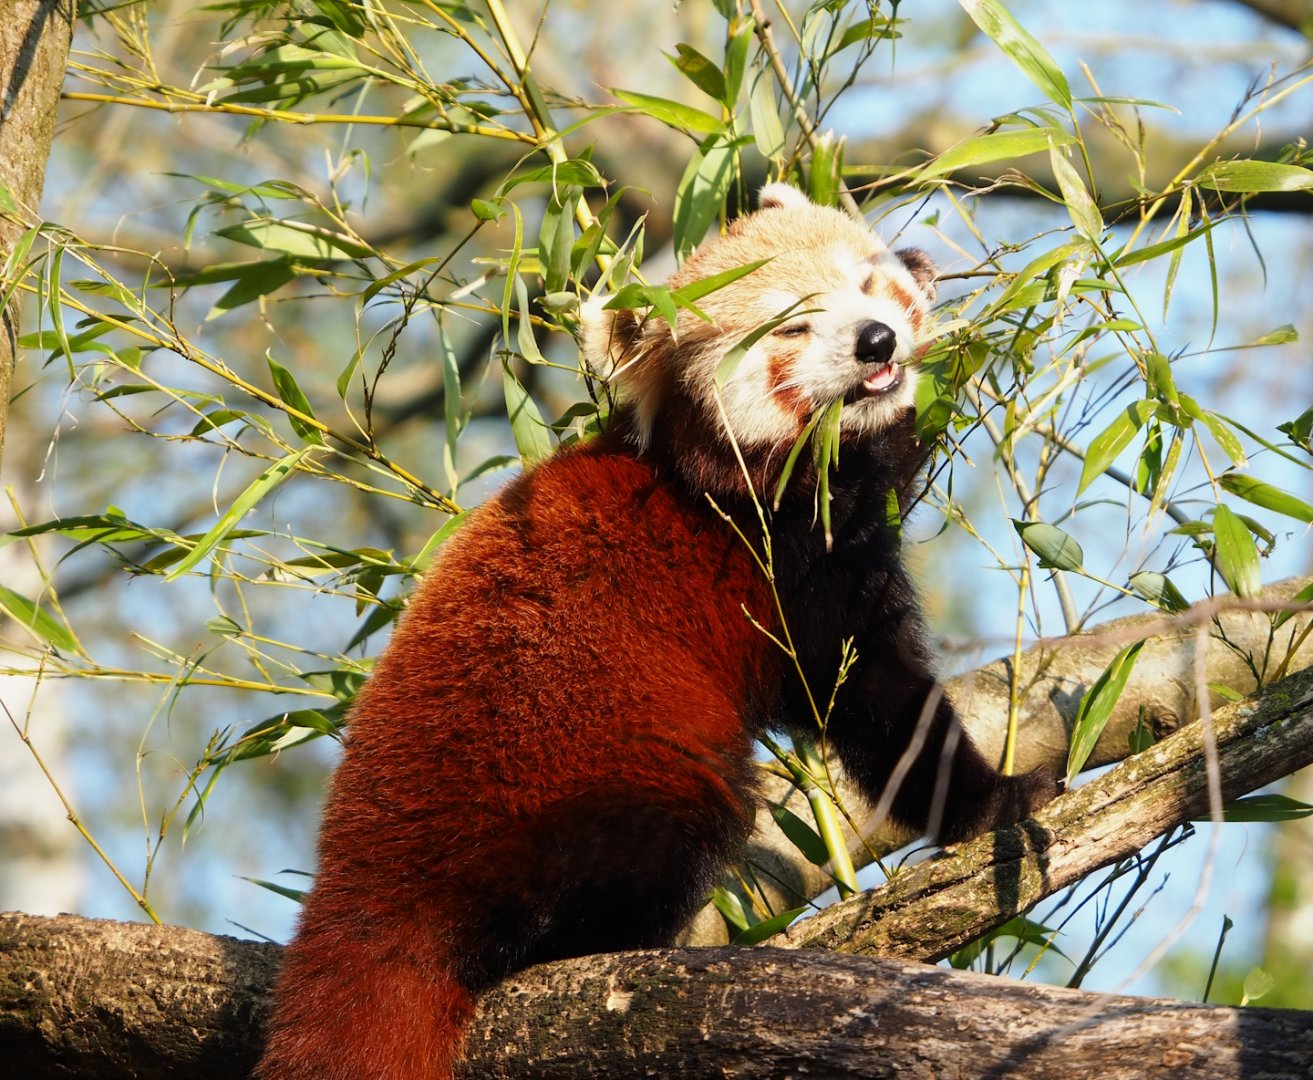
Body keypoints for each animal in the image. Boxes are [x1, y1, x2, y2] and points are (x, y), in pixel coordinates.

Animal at [255, 183, 1057, 1079]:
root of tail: (365, 882)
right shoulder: (785, 559)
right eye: (792, 328)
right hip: (595, 769)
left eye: (865, 281)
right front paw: (988, 801)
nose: (875, 339)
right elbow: (875, 702)